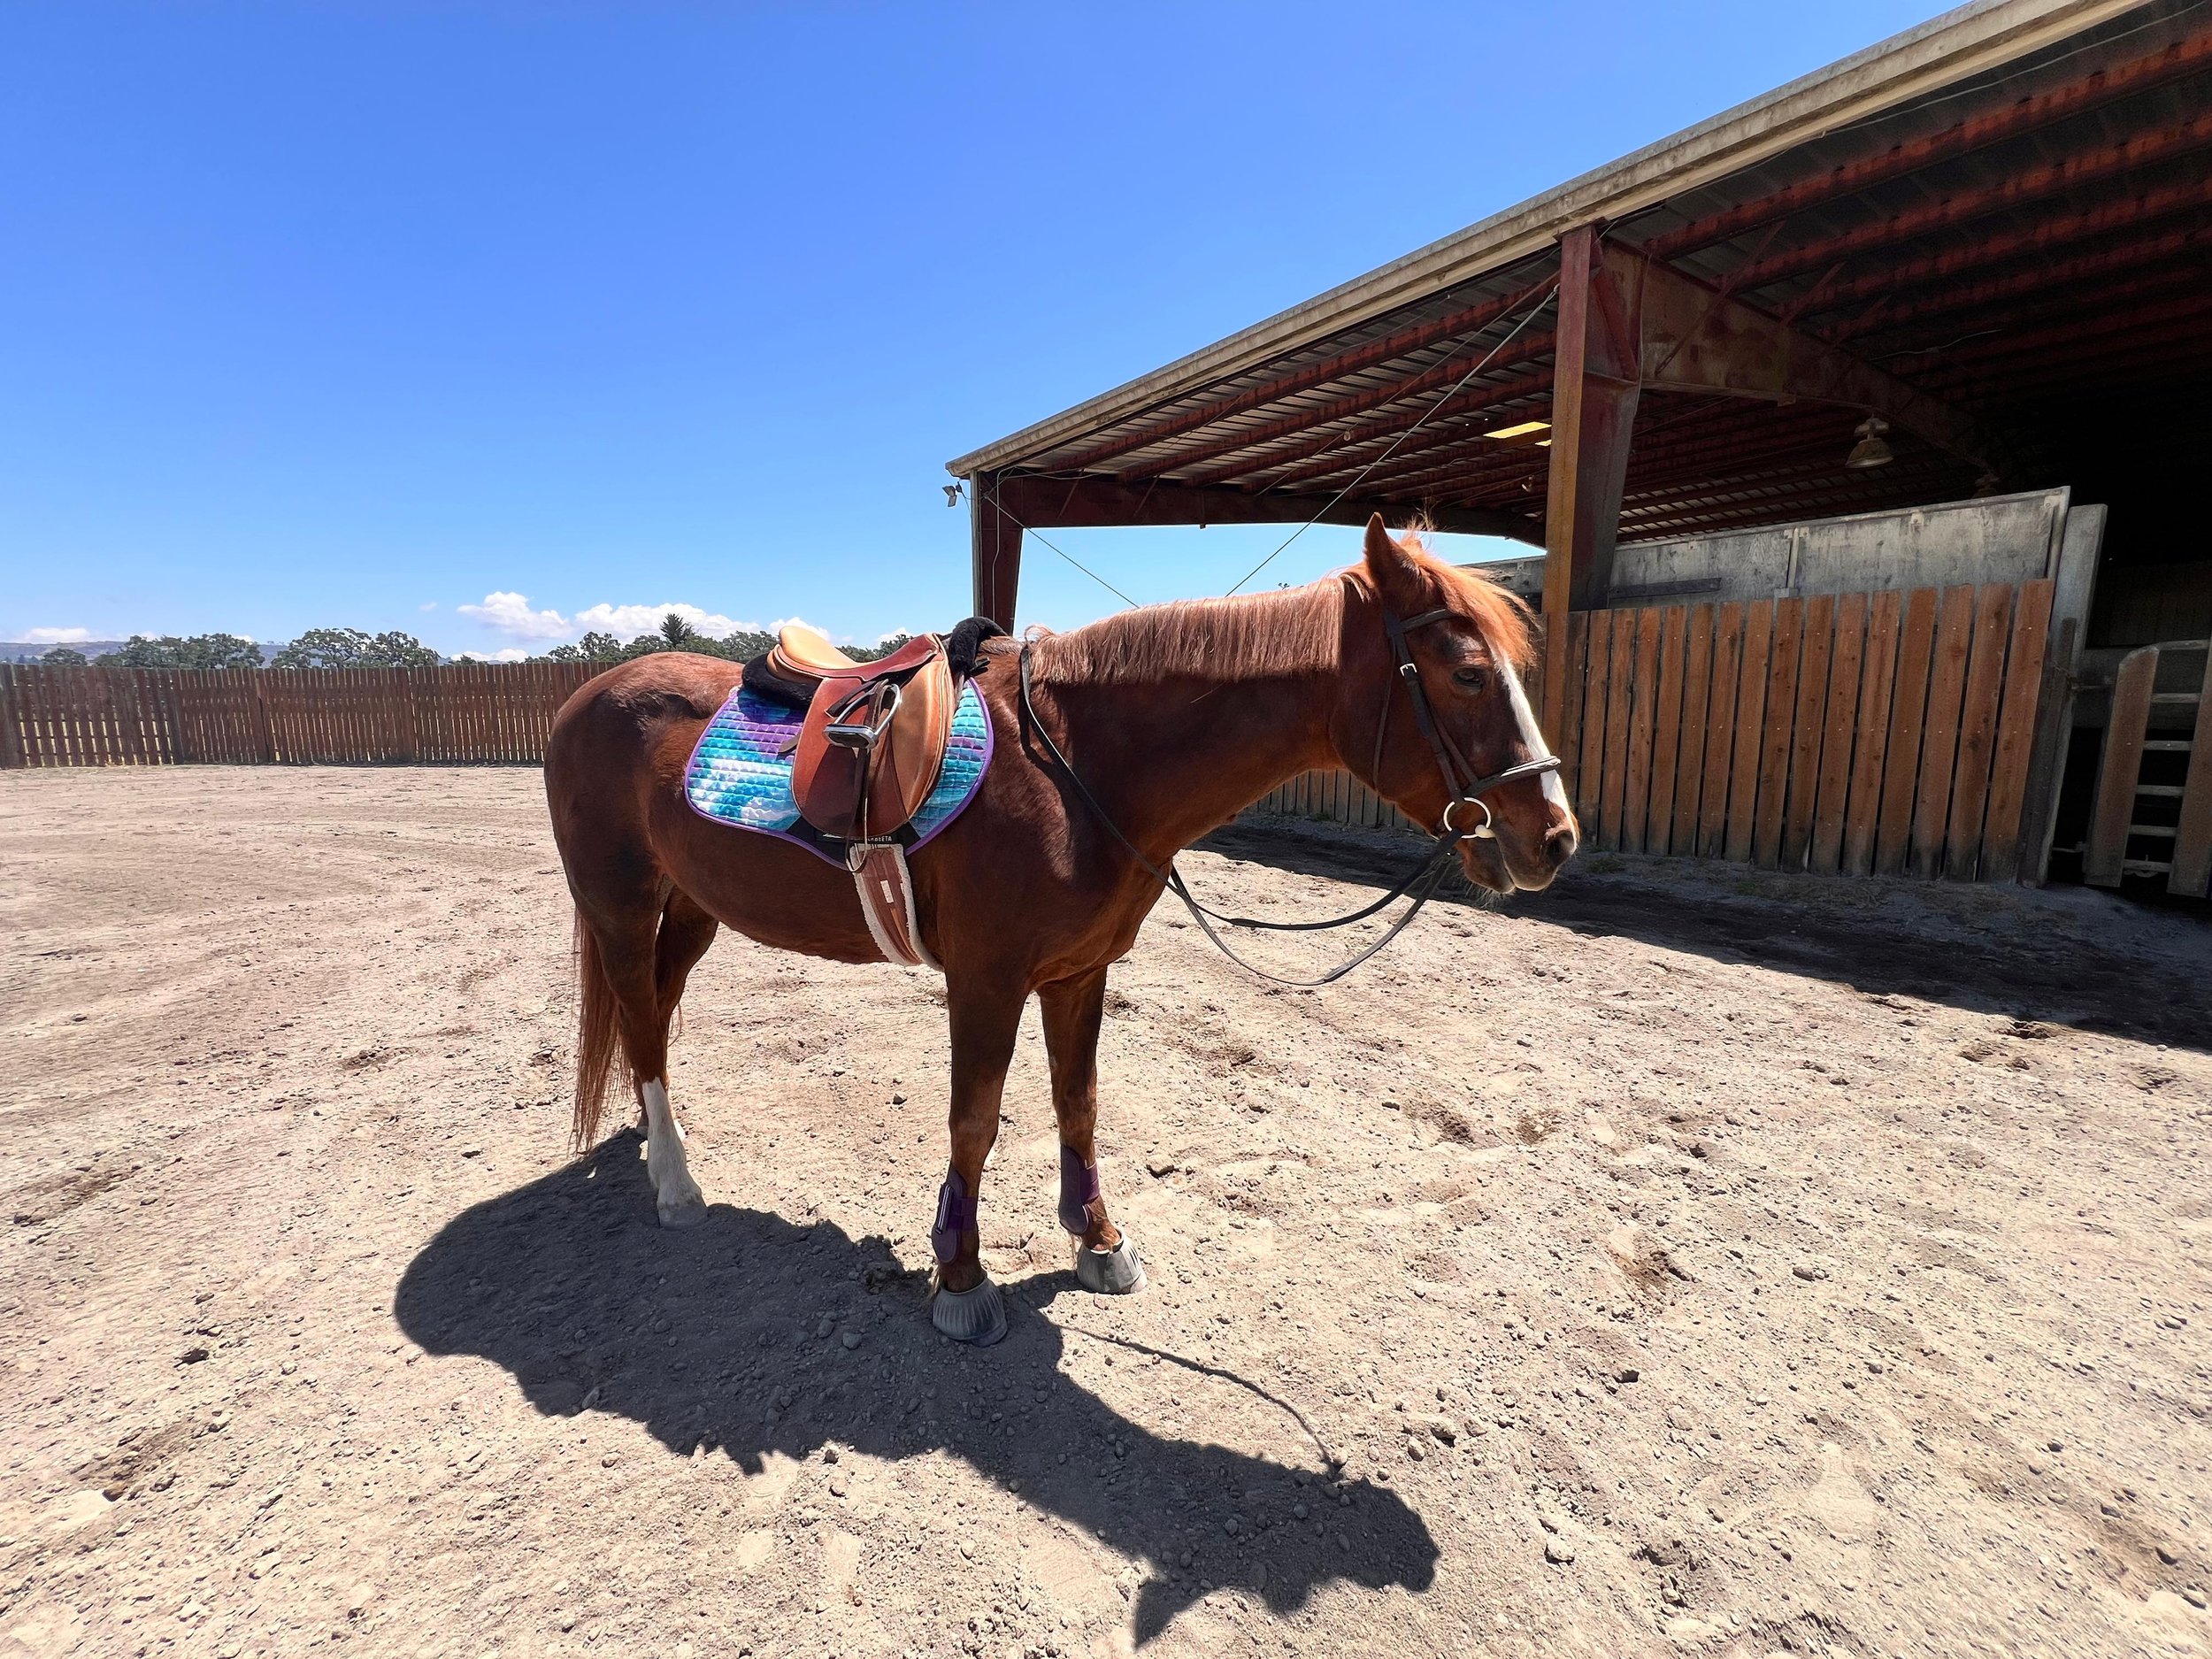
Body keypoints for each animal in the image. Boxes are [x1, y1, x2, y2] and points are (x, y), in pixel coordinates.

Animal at [542, 515, 1580, 1344]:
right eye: (1466, 673)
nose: (1554, 838)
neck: (1078, 765)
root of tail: (586, 696)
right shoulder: (986, 980)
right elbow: (974, 1119)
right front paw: (960, 1274)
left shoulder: (1079, 973)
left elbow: (1076, 1103)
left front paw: (1099, 1239)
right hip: (619, 904)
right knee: (640, 1018)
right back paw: (676, 1186)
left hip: (694, 906)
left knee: (654, 1012)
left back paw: (656, 1147)